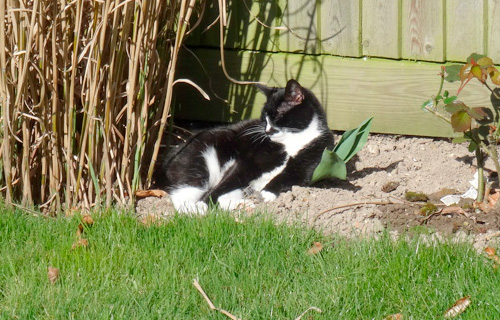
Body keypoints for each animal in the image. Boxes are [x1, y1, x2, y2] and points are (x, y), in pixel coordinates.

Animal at [158, 78, 334, 212]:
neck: (292, 141)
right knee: (186, 191)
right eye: (264, 117)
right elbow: (229, 179)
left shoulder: (313, 159)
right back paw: (195, 209)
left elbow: (288, 176)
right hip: (199, 159)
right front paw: (204, 202)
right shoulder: (250, 161)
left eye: (277, 115)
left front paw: (266, 193)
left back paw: (242, 204)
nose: (267, 130)